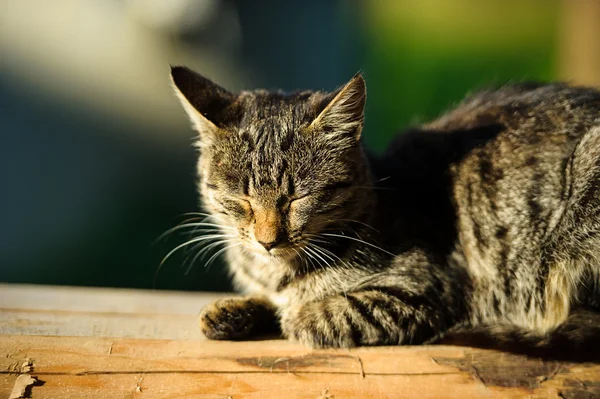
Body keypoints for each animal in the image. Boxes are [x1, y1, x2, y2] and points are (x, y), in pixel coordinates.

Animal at [168, 65, 600, 360]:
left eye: (296, 198)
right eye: (241, 199)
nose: (267, 241)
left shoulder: (429, 290)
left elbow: (333, 310)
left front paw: (297, 315)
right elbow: (268, 299)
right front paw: (231, 309)